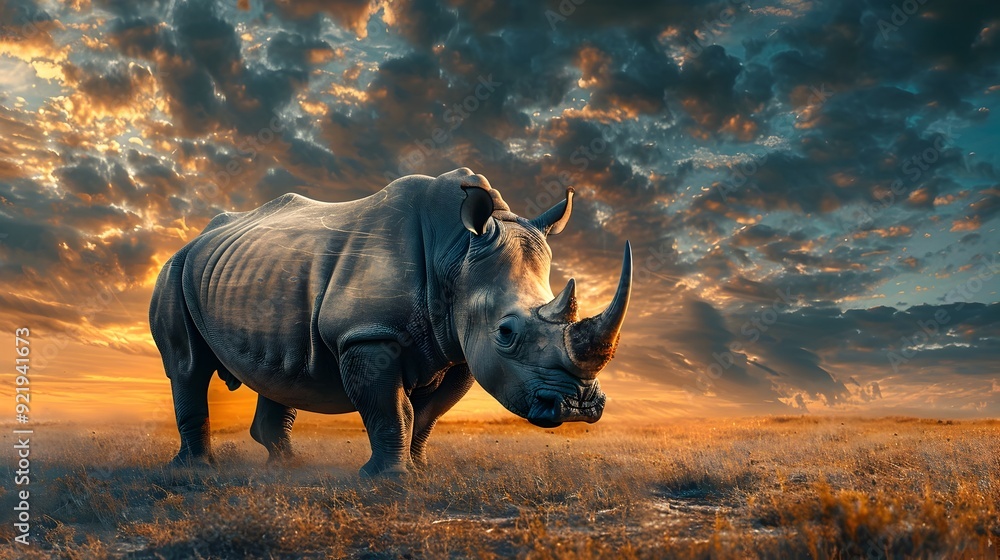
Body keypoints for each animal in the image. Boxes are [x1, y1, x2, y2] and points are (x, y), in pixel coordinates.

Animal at [149, 168, 632, 476]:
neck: (455, 252)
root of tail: (197, 238)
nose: (577, 407)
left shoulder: (457, 349)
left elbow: (428, 414)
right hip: (174, 269)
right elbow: (390, 407)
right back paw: (195, 471)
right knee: (187, 368)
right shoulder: (367, 334)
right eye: (506, 333)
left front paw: (420, 469)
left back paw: (287, 466)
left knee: (280, 368)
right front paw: (389, 480)